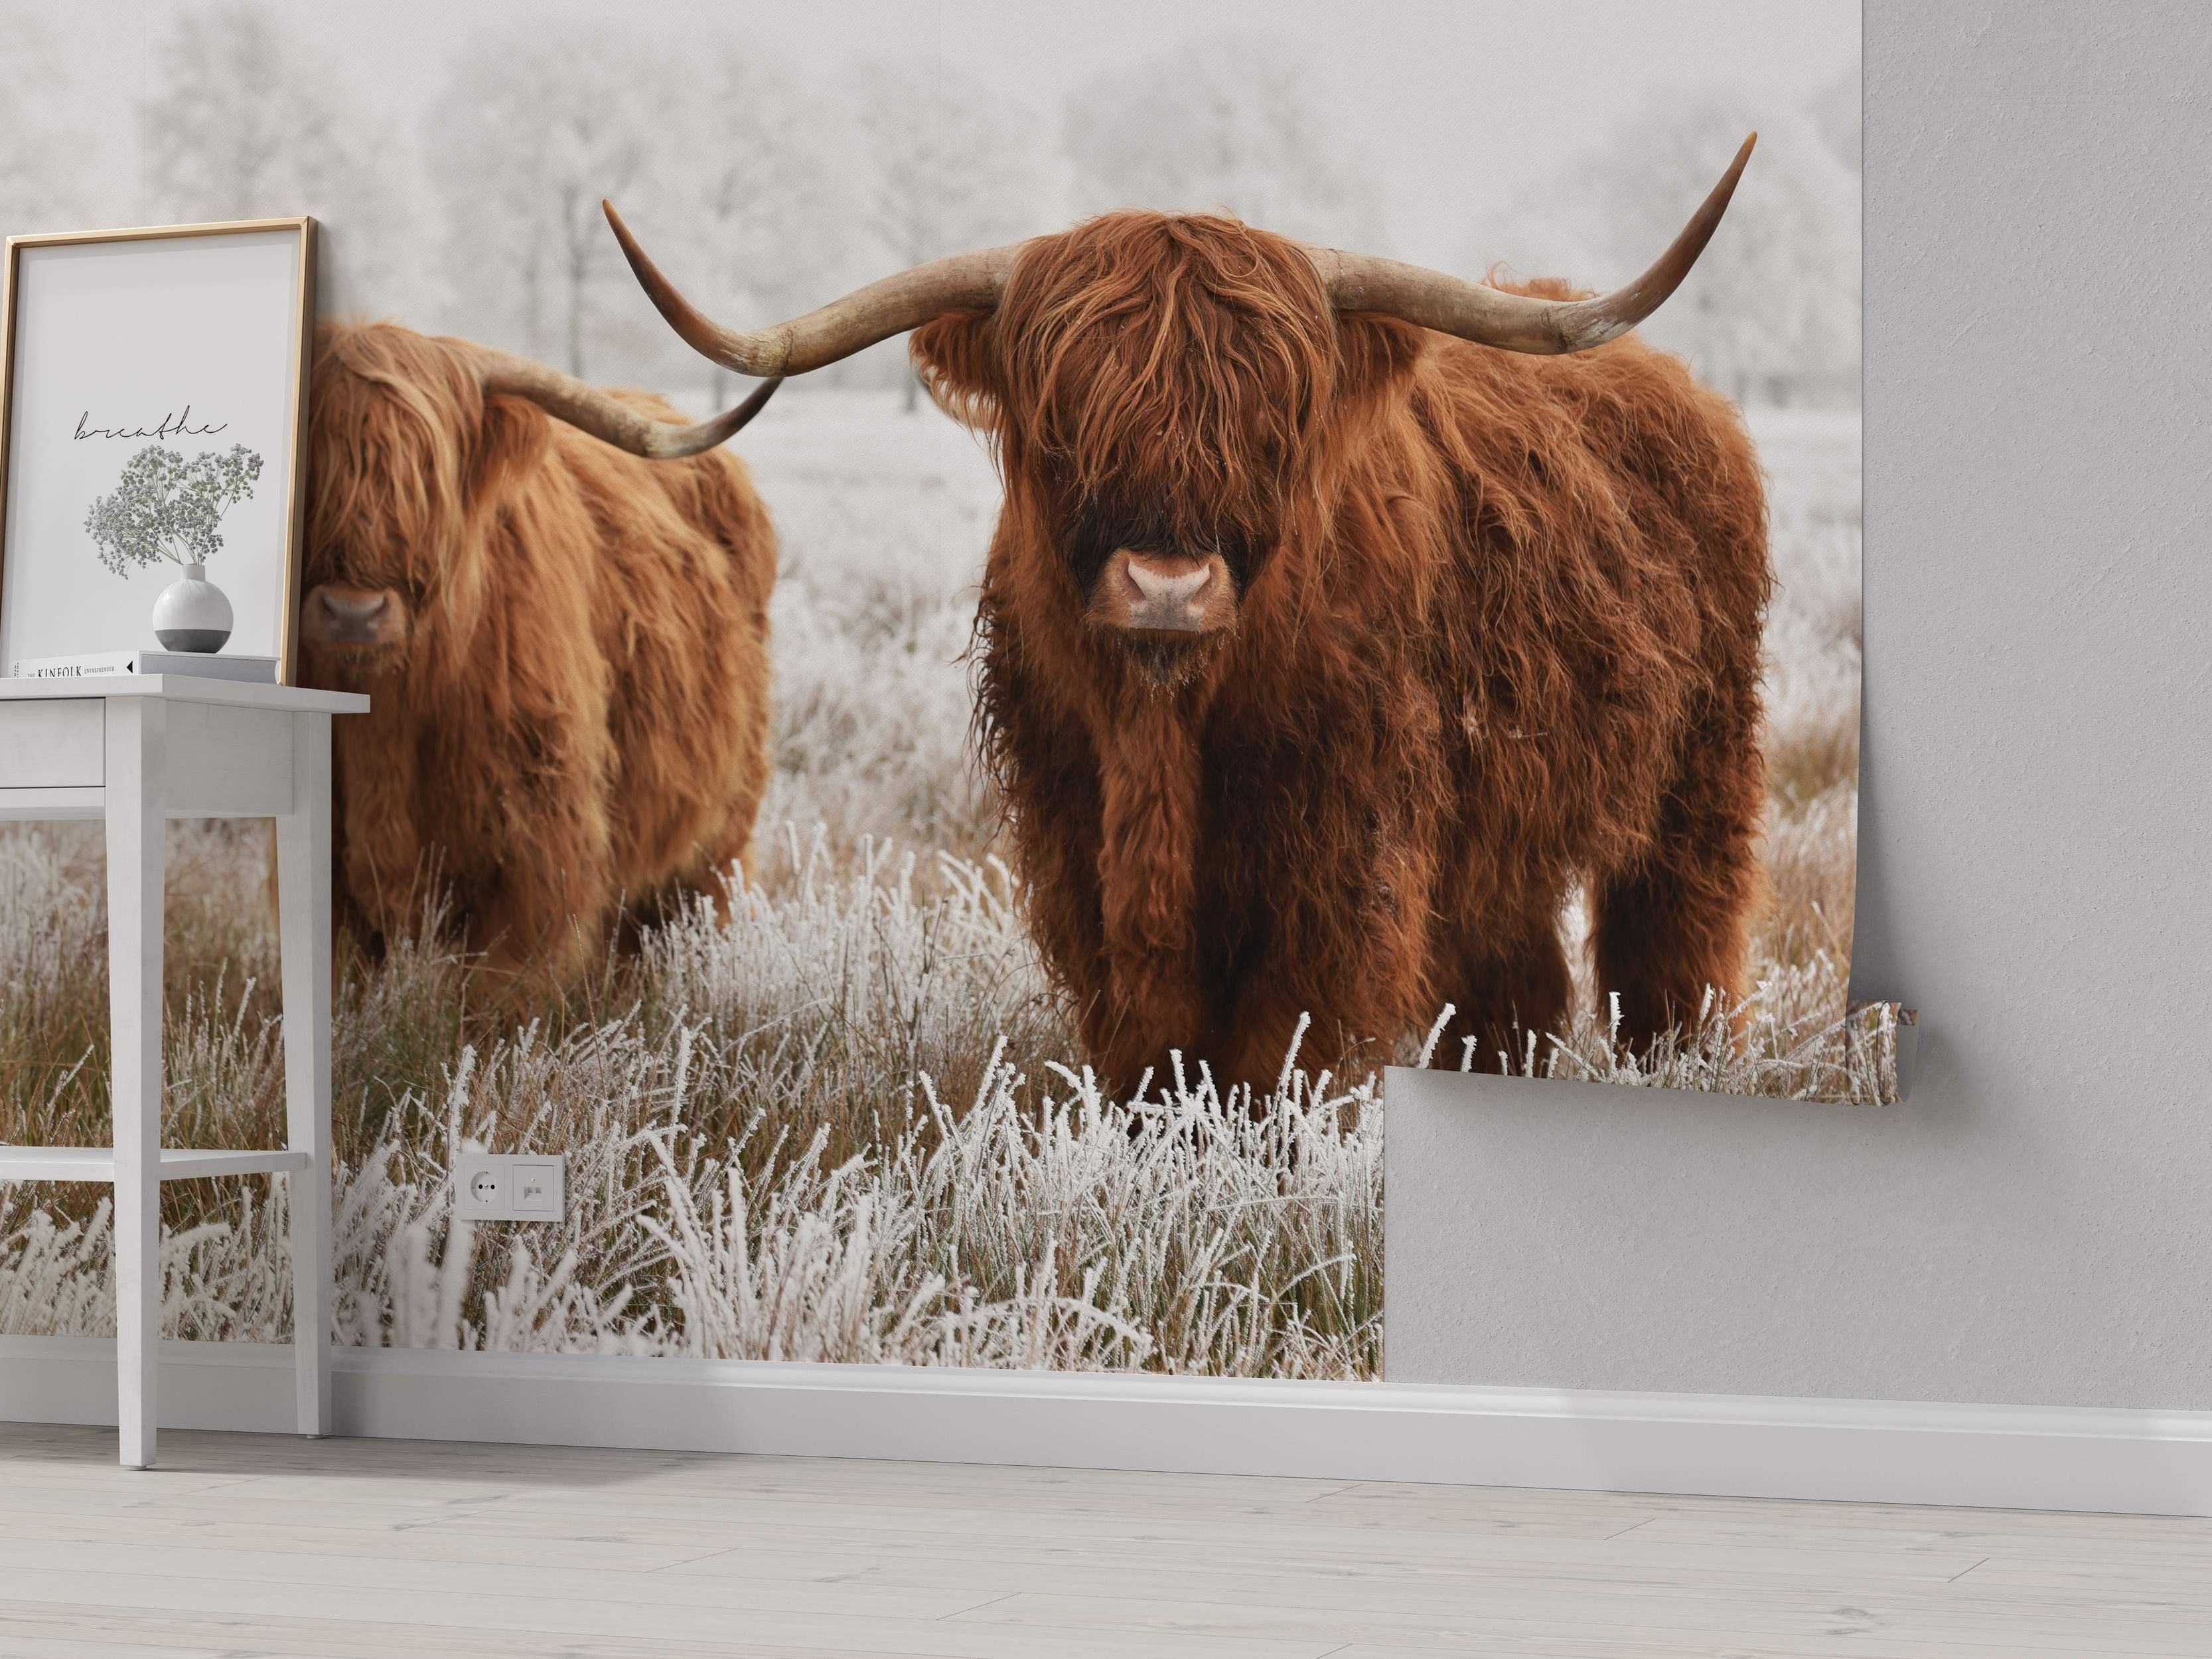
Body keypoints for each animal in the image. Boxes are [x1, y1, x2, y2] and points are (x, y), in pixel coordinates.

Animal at [604, 136, 1768, 1093]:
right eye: (1064, 420)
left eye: (1274, 424)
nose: (1167, 586)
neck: (1162, 731)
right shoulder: (1077, 839)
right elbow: (1149, 1047)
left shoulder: (1343, 856)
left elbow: (1278, 1048)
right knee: (1514, 981)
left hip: (1700, 767)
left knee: (1676, 939)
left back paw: (1680, 1064)